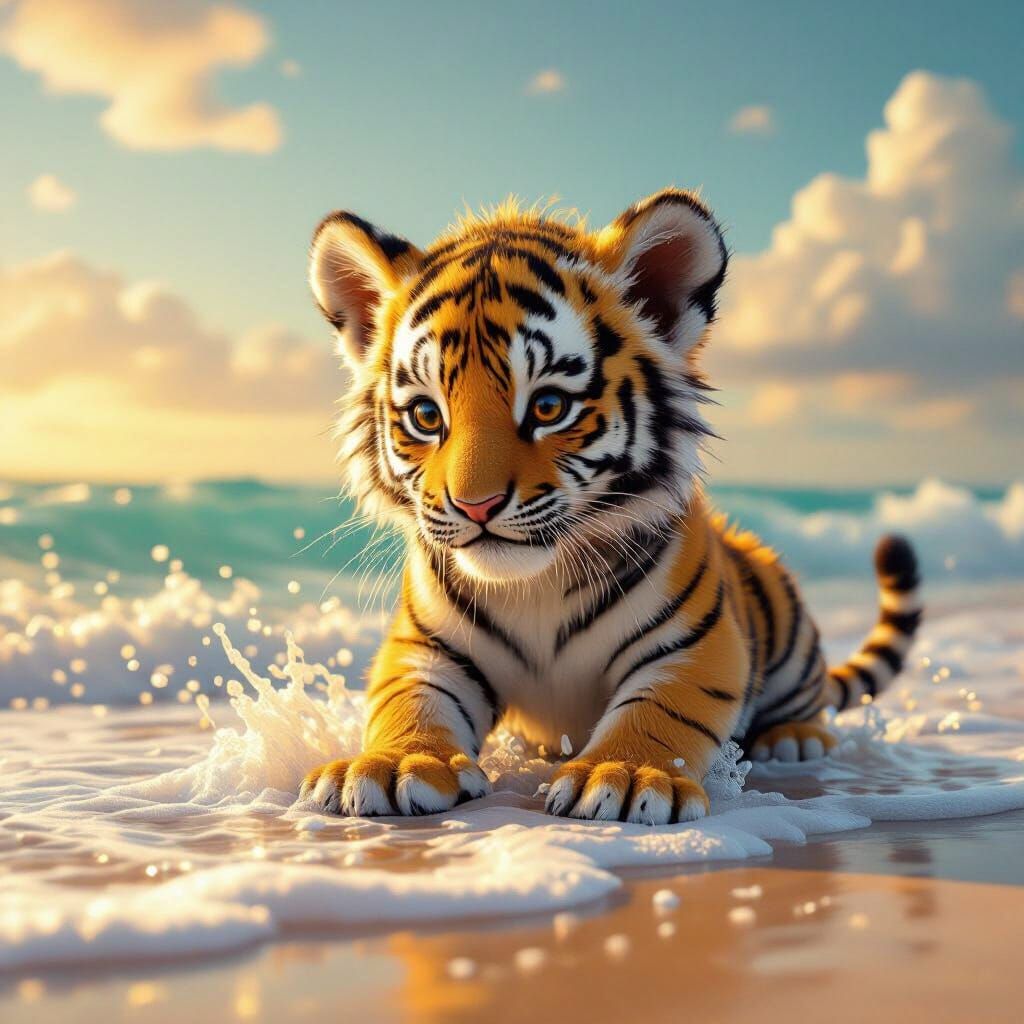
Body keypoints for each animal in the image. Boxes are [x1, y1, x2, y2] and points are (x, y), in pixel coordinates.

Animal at [299, 189, 923, 824]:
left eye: (548, 406)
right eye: (427, 416)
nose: (476, 506)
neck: (534, 587)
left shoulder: (693, 645)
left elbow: (660, 709)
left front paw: (622, 775)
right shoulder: (425, 649)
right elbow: (407, 702)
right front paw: (394, 765)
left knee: (808, 698)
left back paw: (793, 739)